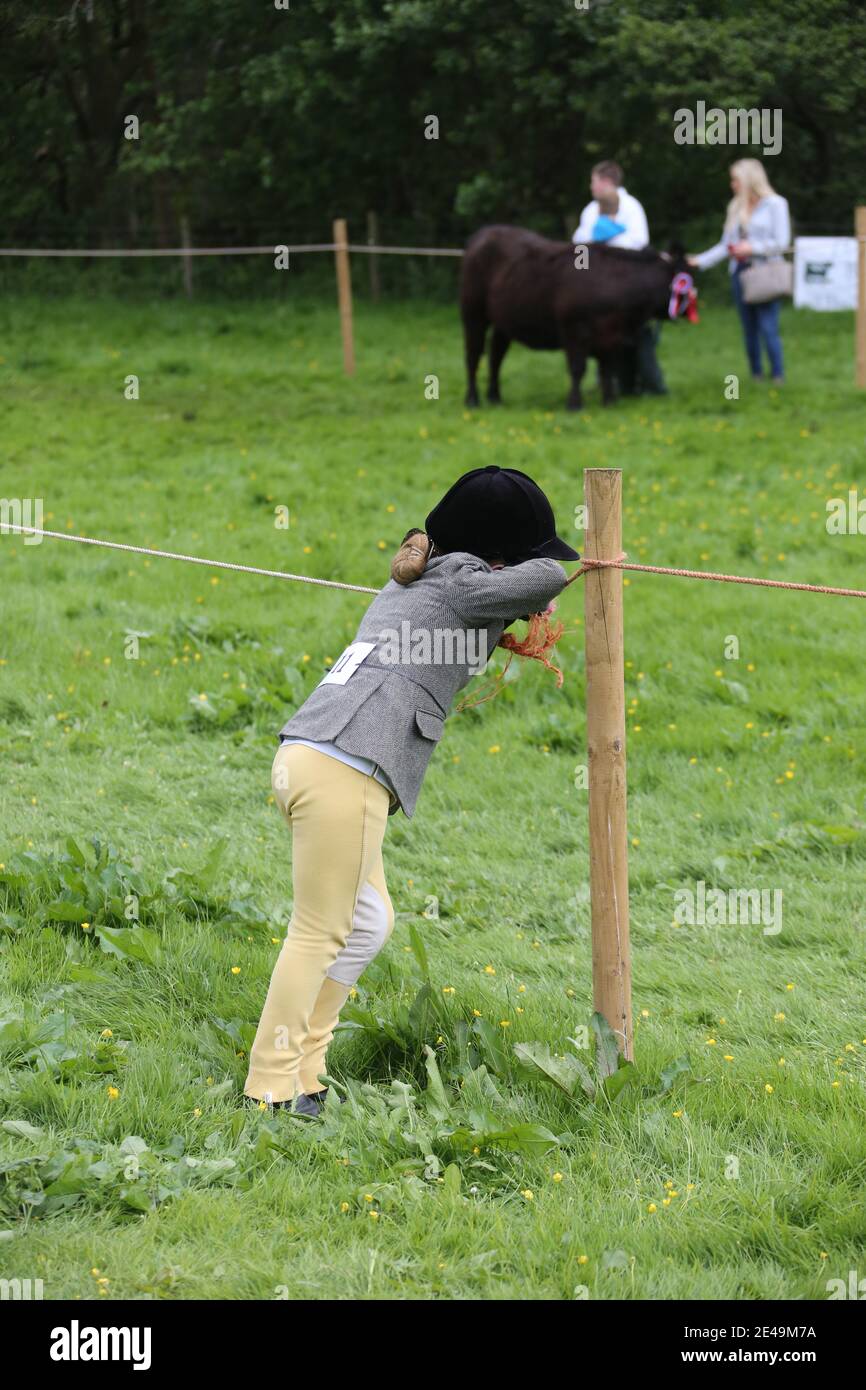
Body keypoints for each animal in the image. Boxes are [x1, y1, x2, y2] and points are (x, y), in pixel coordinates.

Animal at [461, 225, 697, 408]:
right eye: (686, 279)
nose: (692, 310)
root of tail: (484, 233)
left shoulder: (612, 338)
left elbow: (607, 369)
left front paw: (609, 401)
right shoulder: (574, 330)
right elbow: (578, 368)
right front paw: (574, 404)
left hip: (503, 321)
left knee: (496, 356)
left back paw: (495, 397)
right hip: (473, 313)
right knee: (474, 355)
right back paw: (472, 400)